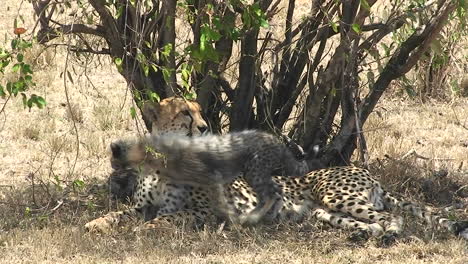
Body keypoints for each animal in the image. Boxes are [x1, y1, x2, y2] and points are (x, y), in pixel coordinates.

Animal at [109, 131, 310, 224]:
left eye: (116, 164)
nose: (112, 174)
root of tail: (273, 138)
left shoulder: (212, 182)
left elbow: (220, 204)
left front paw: (232, 220)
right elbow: (163, 212)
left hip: (254, 170)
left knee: (272, 193)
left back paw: (255, 215)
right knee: (276, 191)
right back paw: (267, 214)